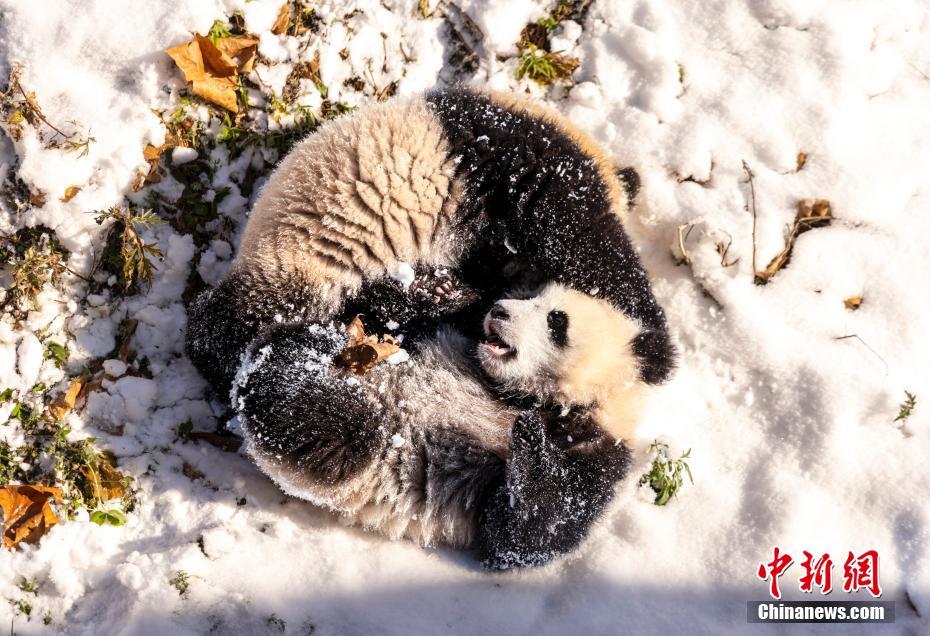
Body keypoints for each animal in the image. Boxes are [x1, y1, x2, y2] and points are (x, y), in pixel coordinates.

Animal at [185, 87, 676, 568]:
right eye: (543, 305)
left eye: (555, 323)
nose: (500, 313)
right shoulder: (515, 156)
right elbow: (580, 236)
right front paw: (649, 330)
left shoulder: (597, 453)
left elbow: (523, 531)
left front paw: (534, 444)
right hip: (308, 257)